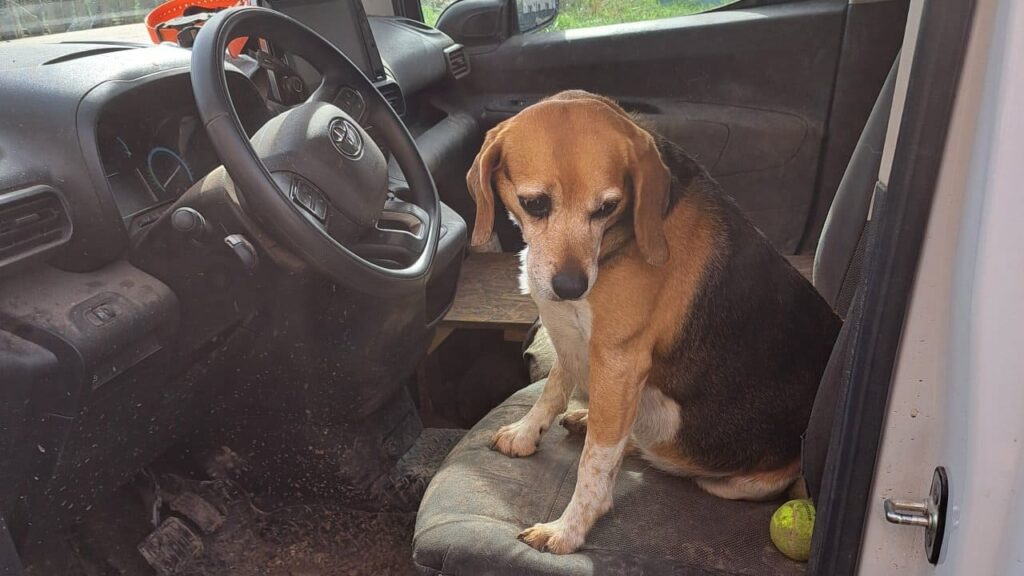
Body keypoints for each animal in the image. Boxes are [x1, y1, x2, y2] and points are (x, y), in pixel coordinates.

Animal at [468, 89, 843, 553]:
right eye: (534, 204)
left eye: (608, 208)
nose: (572, 287)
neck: (616, 243)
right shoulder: (572, 338)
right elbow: (554, 389)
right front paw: (526, 431)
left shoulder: (618, 360)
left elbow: (595, 462)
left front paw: (569, 529)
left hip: (730, 481)